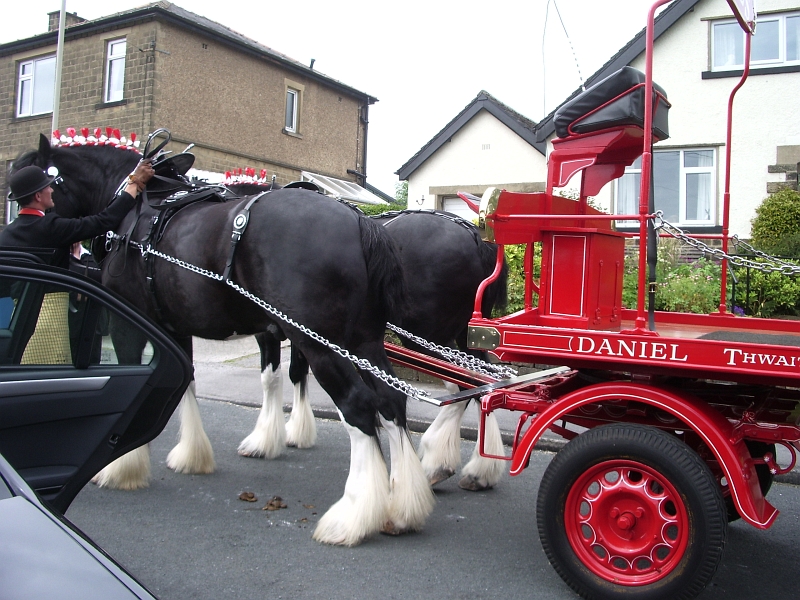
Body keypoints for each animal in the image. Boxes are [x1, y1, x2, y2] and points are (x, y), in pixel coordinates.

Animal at [14, 134, 438, 548]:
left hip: (318, 341)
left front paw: (123, 466)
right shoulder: (178, 325)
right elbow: (190, 378)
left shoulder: (131, 321)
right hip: (363, 341)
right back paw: (402, 507)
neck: (133, 211)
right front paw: (193, 454)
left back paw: (353, 517)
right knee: (390, 401)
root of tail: (357, 221)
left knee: (358, 407)